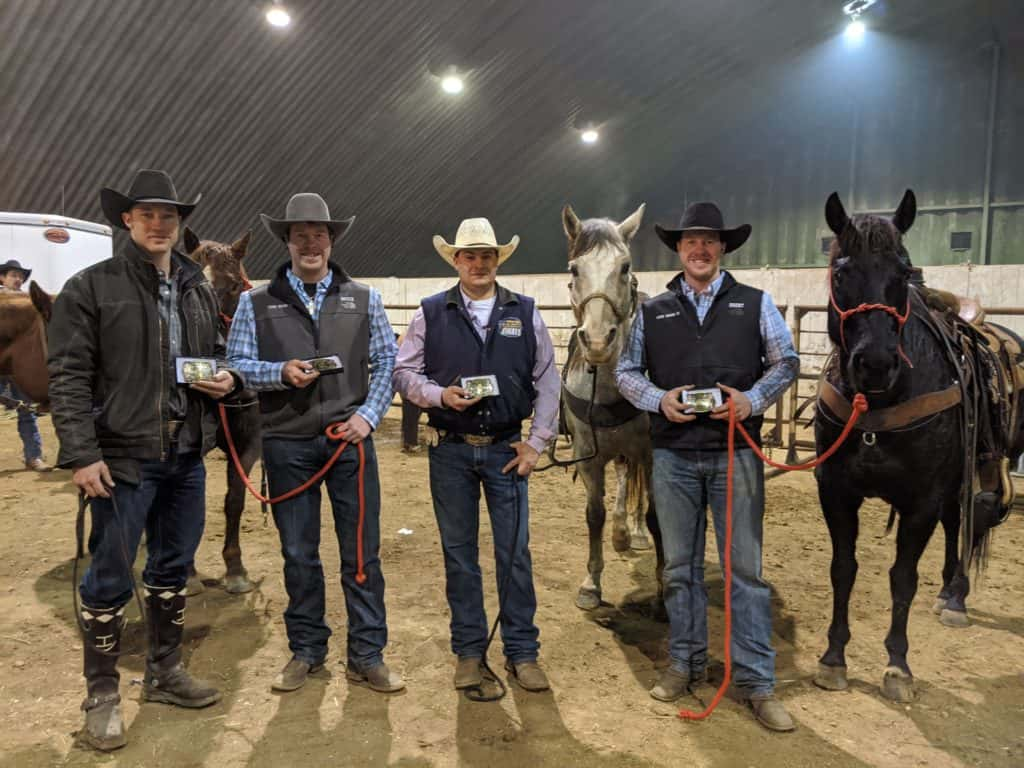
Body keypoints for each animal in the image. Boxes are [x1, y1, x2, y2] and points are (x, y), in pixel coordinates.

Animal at [806, 191, 1015, 704]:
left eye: (902, 272)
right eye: (840, 272)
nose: (876, 363)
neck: (880, 403)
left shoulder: (920, 499)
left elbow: (902, 578)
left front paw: (898, 666)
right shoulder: (835, 490)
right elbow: (843, 568)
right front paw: (833, 659)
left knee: (975, 515)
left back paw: (956, 596)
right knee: (958, 521)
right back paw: (947, 590)